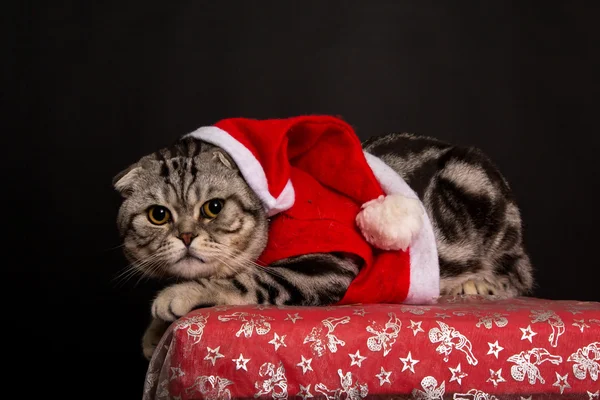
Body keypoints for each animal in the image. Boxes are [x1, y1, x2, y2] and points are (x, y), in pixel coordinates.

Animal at [113, 133, 536, 358]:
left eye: (212, 208)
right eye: (158, 215)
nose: (185, 236)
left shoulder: (327, 264)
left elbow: (243, 280)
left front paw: (176, 296)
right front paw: (154, 330)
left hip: (481, 201)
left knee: (518, 274)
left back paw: (476, 283)